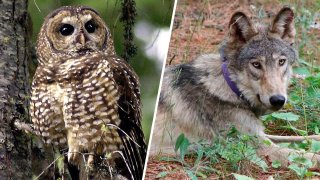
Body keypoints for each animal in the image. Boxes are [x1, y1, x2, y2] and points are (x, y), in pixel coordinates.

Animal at [151, 7, 320, 167]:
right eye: (256, 65)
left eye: (281, 62)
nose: (278, 100)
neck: (231, 88)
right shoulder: (259, 146)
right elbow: (308, 156)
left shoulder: (261, 135)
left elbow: (302, 137)